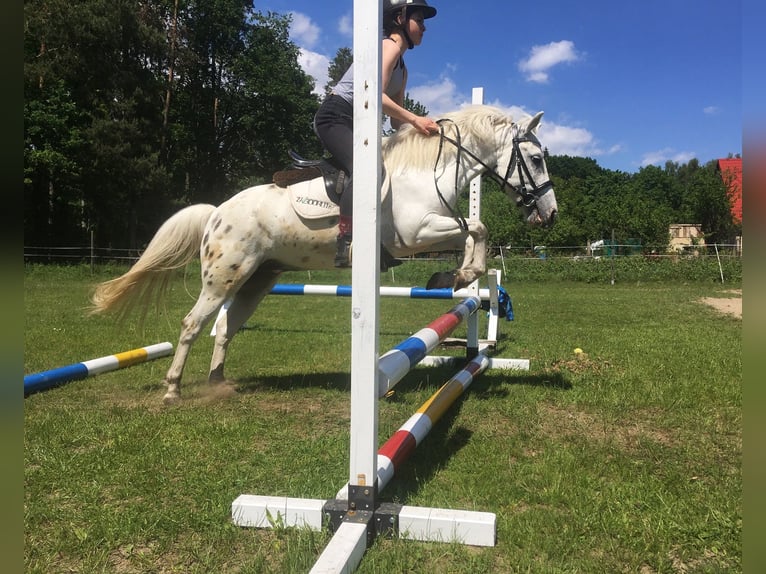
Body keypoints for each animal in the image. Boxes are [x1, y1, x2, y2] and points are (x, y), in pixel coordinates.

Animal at [91, 107, 560, 404]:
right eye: (536, 159)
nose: (550, 214)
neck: (426, 171)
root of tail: (217, 212)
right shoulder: (413, 235)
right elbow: (478, 229)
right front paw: (455, 277)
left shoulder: (430, 230)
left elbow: (476, 232)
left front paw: (458, 276)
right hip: (224, 277)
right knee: (192, 325)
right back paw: (172, 389)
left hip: (258, 279)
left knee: (226, 327)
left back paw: (219, 383)